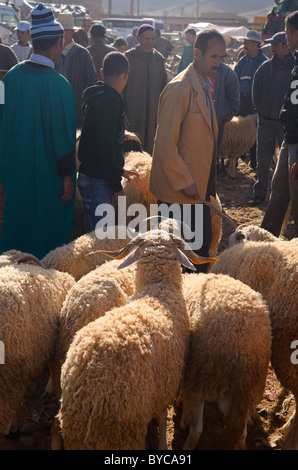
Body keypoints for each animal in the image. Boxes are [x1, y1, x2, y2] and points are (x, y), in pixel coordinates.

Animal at [57, 229, 218, 450]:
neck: (157, 291)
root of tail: (92, 392)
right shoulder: (165, 383)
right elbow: (162, 416)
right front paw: (162, 444)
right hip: (127, 428)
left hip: (74, 429)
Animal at [180, 274, 272, 450]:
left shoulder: (189, 375)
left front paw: (183, 419)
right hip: (246, 390)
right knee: (241, 433)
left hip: (203, 375)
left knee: (197, 430)